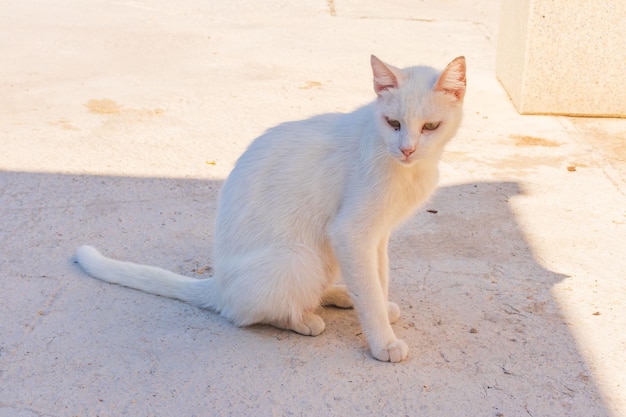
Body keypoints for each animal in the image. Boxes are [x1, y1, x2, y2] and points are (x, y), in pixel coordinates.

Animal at [75, 55, 464, 360]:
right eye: (393, 123)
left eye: (430, 126)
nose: (407, 149)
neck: (408, 168)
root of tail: (218, 285)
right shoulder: (351, 233)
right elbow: (368, 287)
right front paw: (383, 342)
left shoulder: (377, 236)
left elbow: (377, 279)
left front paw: (381, 309)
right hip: (299, 257)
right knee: (252, 314)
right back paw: (305, 319)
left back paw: (339, 295)